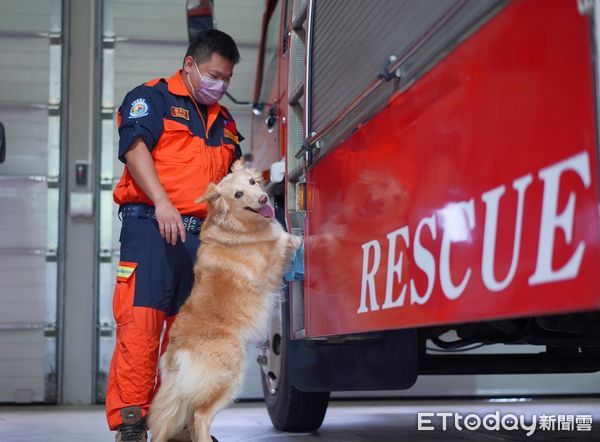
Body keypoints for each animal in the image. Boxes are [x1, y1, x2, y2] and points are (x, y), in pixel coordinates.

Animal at [148, 160, 302, 442]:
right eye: (238, 195)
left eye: (251, 183)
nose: (264, 198)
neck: (236, 227)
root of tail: (175, 355)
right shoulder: (268, 269)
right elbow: (282, 240)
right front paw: (296, 239)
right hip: (229, 377)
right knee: (200, 417)